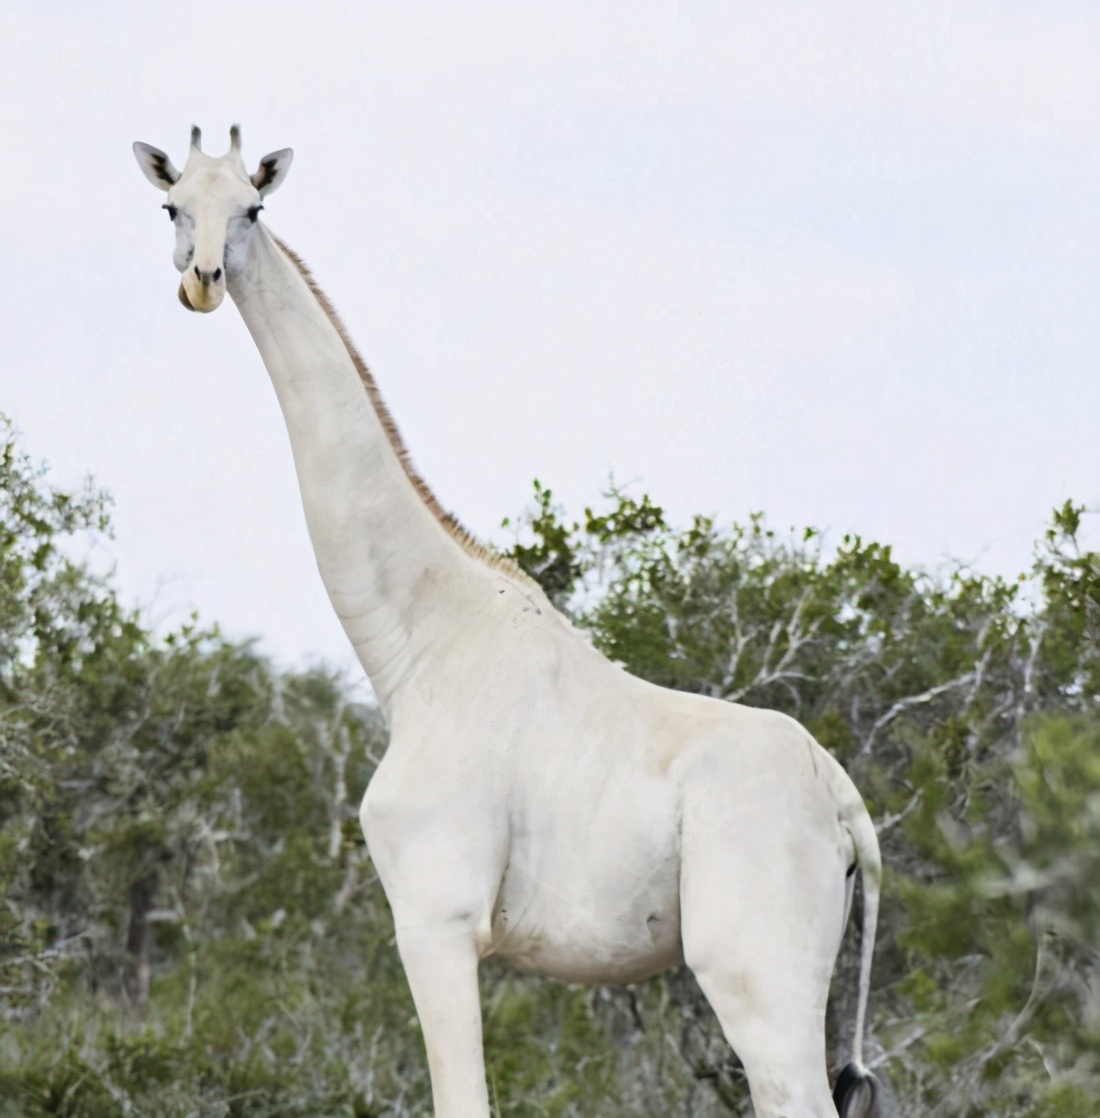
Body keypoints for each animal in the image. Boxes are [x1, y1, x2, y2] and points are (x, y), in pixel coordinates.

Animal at [133, 126, 885, 1113]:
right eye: (172, 205)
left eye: (254, 208)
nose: (204, 281)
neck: (420, 649)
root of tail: (847, 807)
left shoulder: (436, 918)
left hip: (756, 979)